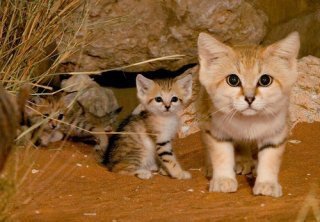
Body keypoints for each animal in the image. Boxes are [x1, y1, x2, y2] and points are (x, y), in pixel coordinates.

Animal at [198, 32, 300, 197]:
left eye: (265, 80)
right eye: (233, 80)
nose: (250, 98)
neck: (248, 121)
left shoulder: (277, 131)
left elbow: (270, 158)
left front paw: (267, 183)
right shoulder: (215, 130)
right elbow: (221, 155)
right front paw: (223, 179)